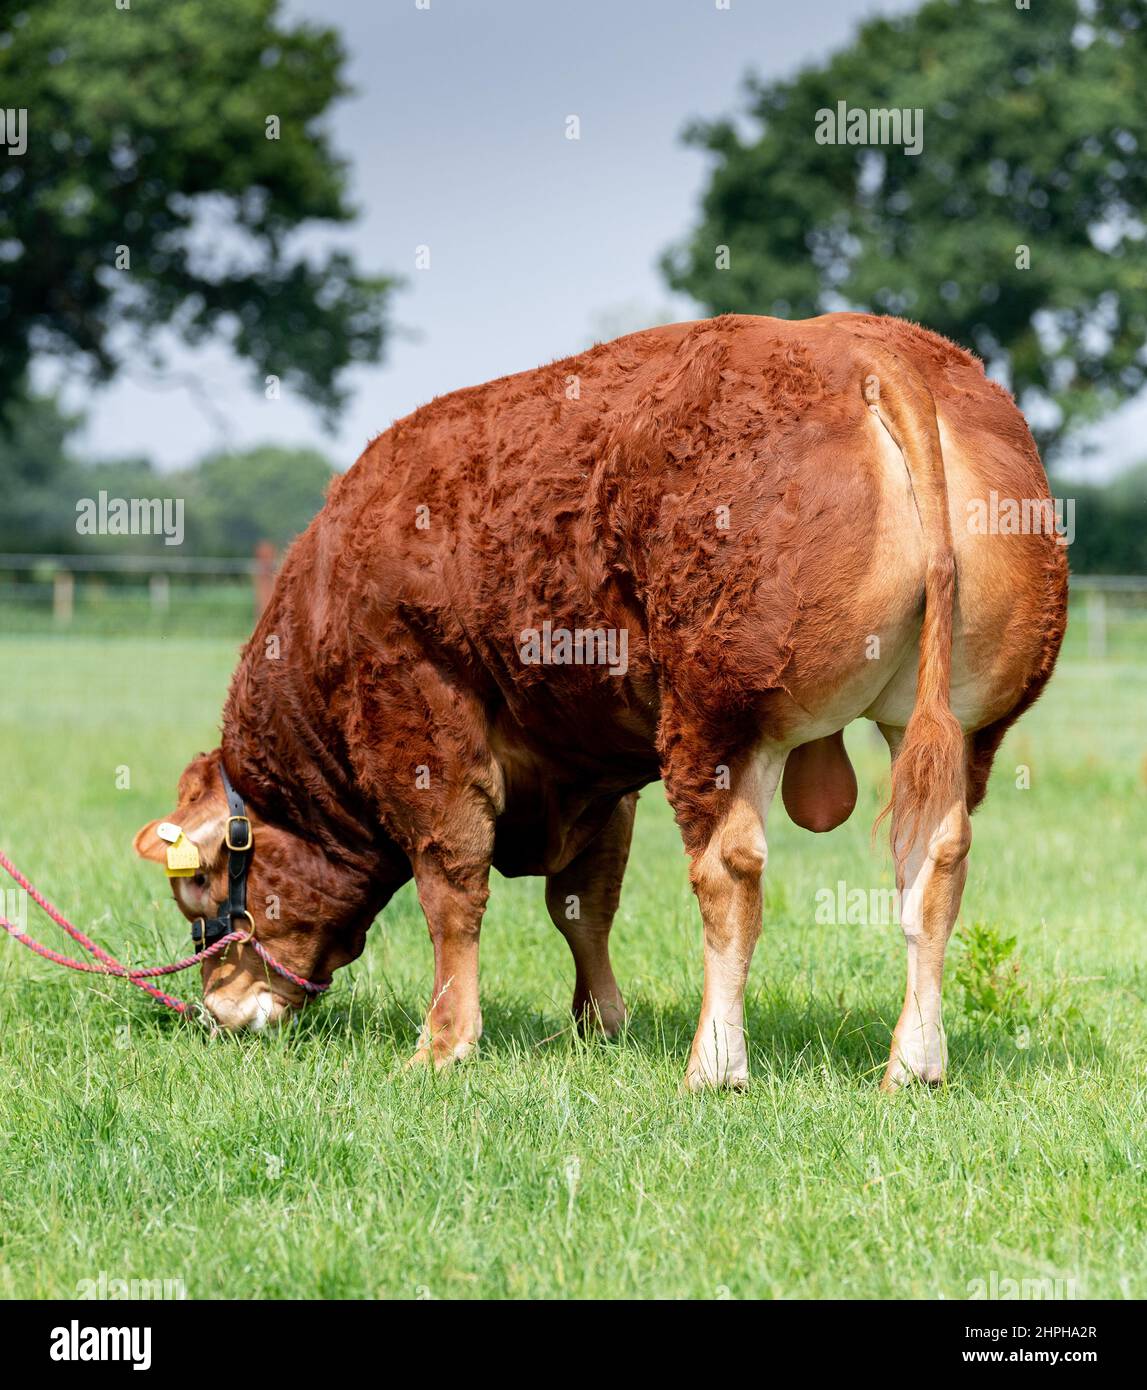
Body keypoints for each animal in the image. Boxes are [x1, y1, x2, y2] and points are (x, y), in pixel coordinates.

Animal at [132, 312, 1067, 1084]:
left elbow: (451, 886)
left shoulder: (419, 718)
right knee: (932, 863)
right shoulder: (590, 769)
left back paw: (713, 1065)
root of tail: (874, 351)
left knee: (730, 875)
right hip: (952, 726)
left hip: (721, 717)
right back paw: (913, 1063)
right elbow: (583, 903)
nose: (215, 1010)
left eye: (200, 885)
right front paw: (599, 1022)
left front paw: (444, 1043)